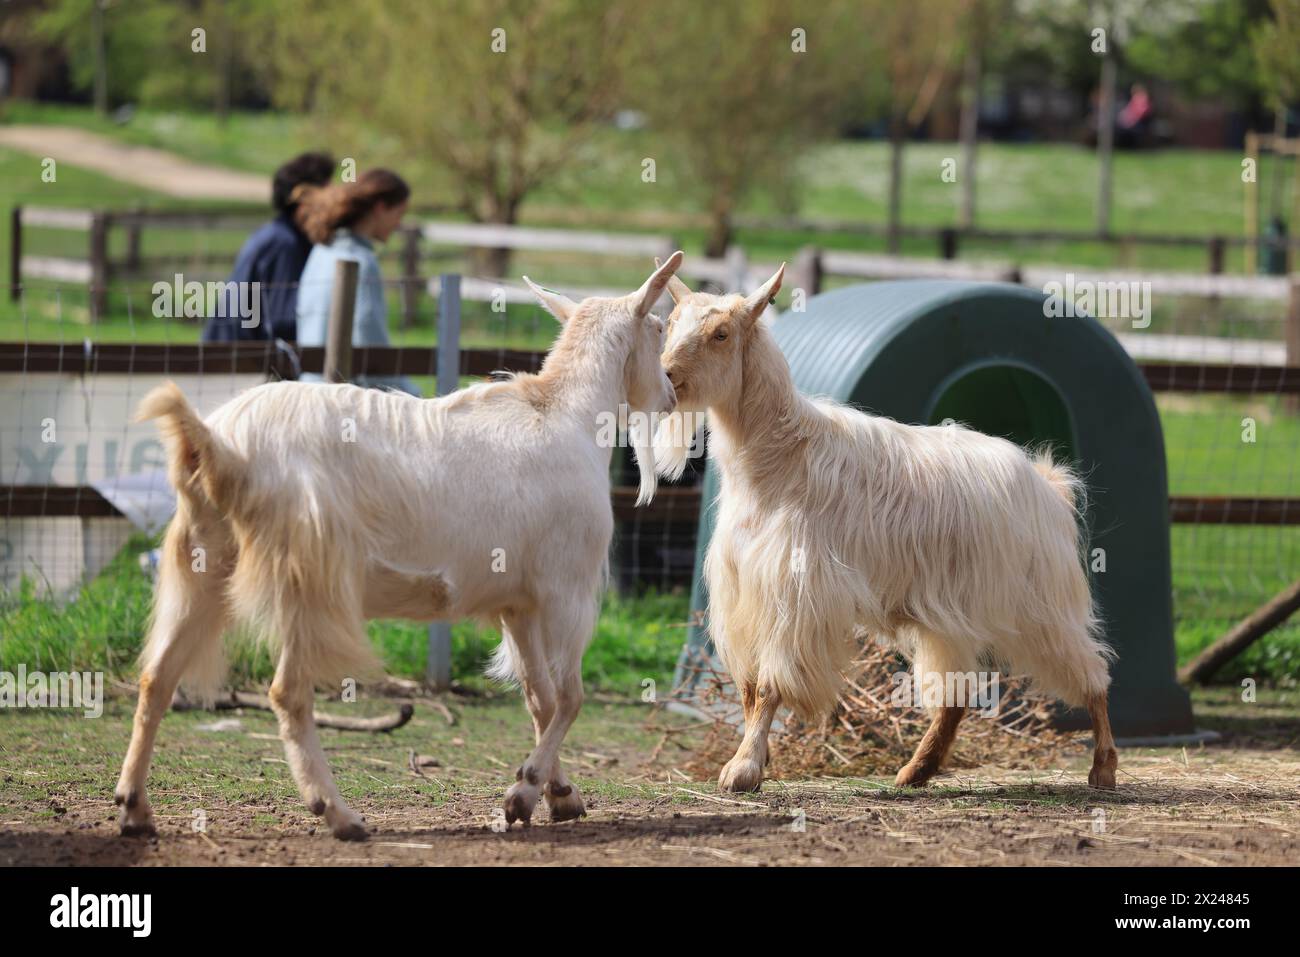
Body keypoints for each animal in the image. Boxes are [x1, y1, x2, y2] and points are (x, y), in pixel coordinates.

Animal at [113, 252, 686, 837]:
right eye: (658, 327)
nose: (671, 392)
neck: (562, 414)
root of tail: (217, 443)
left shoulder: (517, 603)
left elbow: (539, 700)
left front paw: (560, 793)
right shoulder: (566, 590)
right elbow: (570, 699)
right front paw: (523, 793)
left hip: (201, 563)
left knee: (157, 677)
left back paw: (135, 808)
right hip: (307, 578)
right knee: (286, 693)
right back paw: (338, 813)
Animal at [655, 261, 1123, 790]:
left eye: (721, 333)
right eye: (671, 324)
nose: (666, 375)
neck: (779, 459)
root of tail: (1047, 483)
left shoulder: (796, 594)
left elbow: (772, 685)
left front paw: (744, 768)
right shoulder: (744, 592)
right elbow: (751, 689)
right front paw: (751, 758)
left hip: (1041, 605)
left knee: (1093, 672)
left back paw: (1103, 767)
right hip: (949, 617)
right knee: (957, 694)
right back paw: (916, 771)